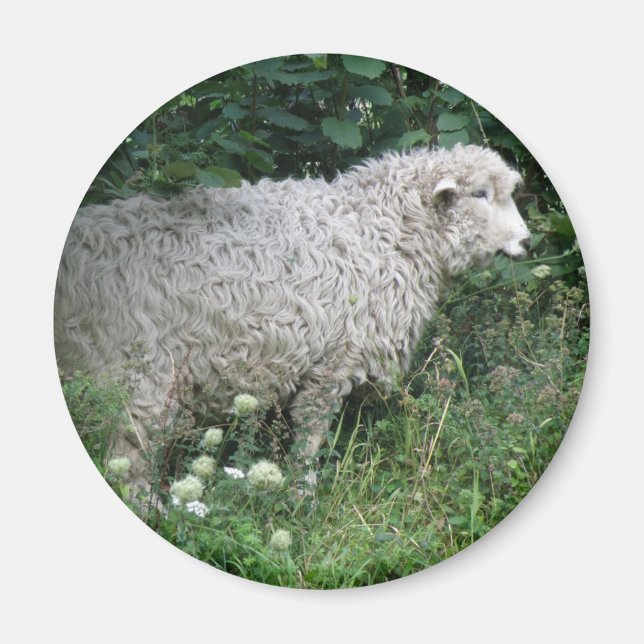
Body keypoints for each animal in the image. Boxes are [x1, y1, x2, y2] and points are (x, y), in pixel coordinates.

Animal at [55, 144, 531, 486]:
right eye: (480, 194)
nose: (527, 242)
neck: (383, 230)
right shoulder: (335, 359)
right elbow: (310, 434)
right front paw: (303, 493)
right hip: (136, 372)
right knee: (129, 457)